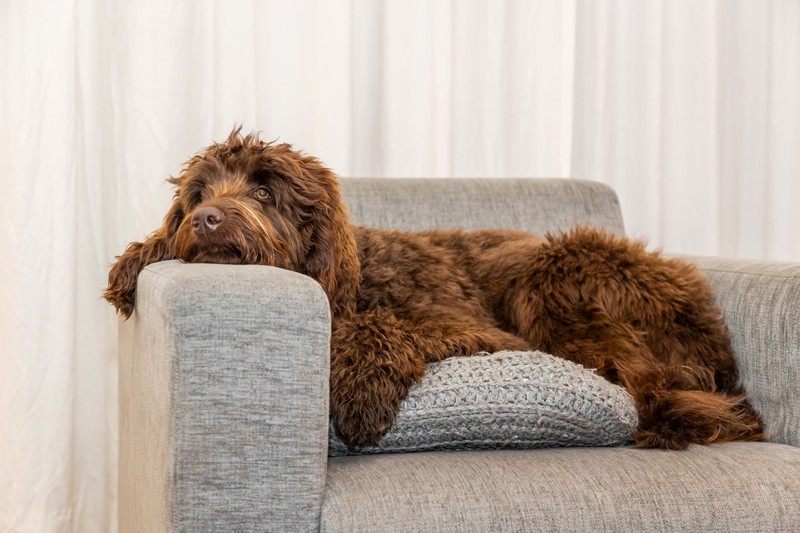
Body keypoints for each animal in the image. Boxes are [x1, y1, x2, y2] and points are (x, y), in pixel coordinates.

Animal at [106, 129, 764, 448]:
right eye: (198, 193)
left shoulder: (476, 328)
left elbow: (385, 325)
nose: (207, 219)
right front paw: (138, 258)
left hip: (555, 273)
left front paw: (361, 389)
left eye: (265, 192)